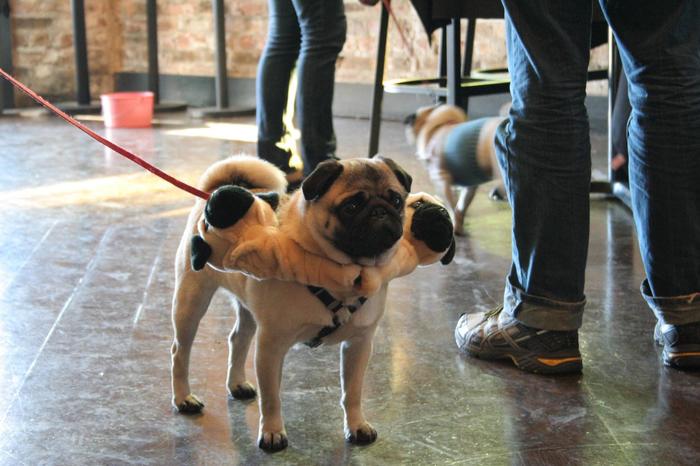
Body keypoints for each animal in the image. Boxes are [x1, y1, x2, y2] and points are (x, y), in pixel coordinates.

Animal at [402, 104, 506, 235]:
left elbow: (452, 207)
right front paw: (459, 226)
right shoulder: (469, 186)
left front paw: (453, 225)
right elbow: (461, 206)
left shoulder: (442, 180)